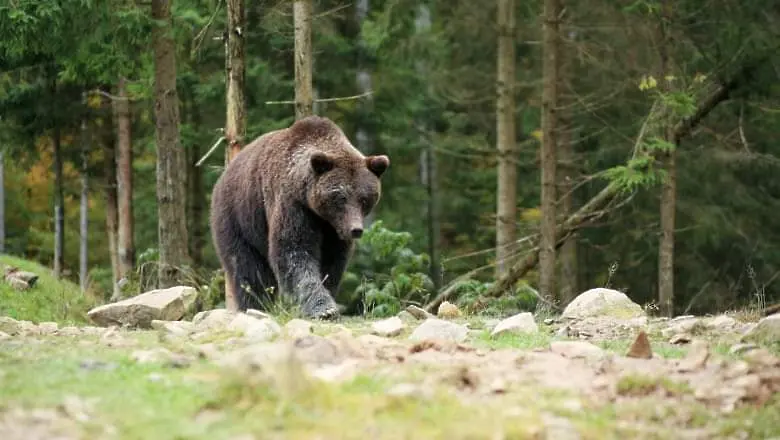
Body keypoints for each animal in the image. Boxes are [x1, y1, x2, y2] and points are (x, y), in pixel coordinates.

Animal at [210, 115, 390, 318]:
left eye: (364, 199)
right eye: (341, 197)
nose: (355, 230)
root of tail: (224, 174)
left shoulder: (333, 229)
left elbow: (332, 262)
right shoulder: (293, 205)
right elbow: (294, 250)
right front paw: (324, 308)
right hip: (238, 217)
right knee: (247, 268)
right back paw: (255, 305)